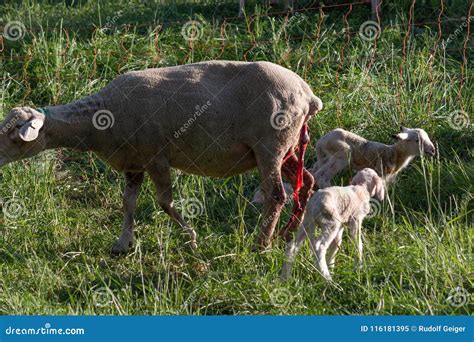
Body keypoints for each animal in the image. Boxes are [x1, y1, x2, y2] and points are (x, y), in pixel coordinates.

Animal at [0, 59, 322, 251]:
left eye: (15, 132)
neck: (97, 119)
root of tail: (308, 95)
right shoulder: (134, 162)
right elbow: (128, 203)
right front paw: (123, 244)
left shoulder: (156, 157)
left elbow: (164, 202)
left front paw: (191, 239)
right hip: (287, 147)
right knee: (307, 182)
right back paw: (288, 235)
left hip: (271, 144)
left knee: (277, 195)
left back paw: (261, 244)